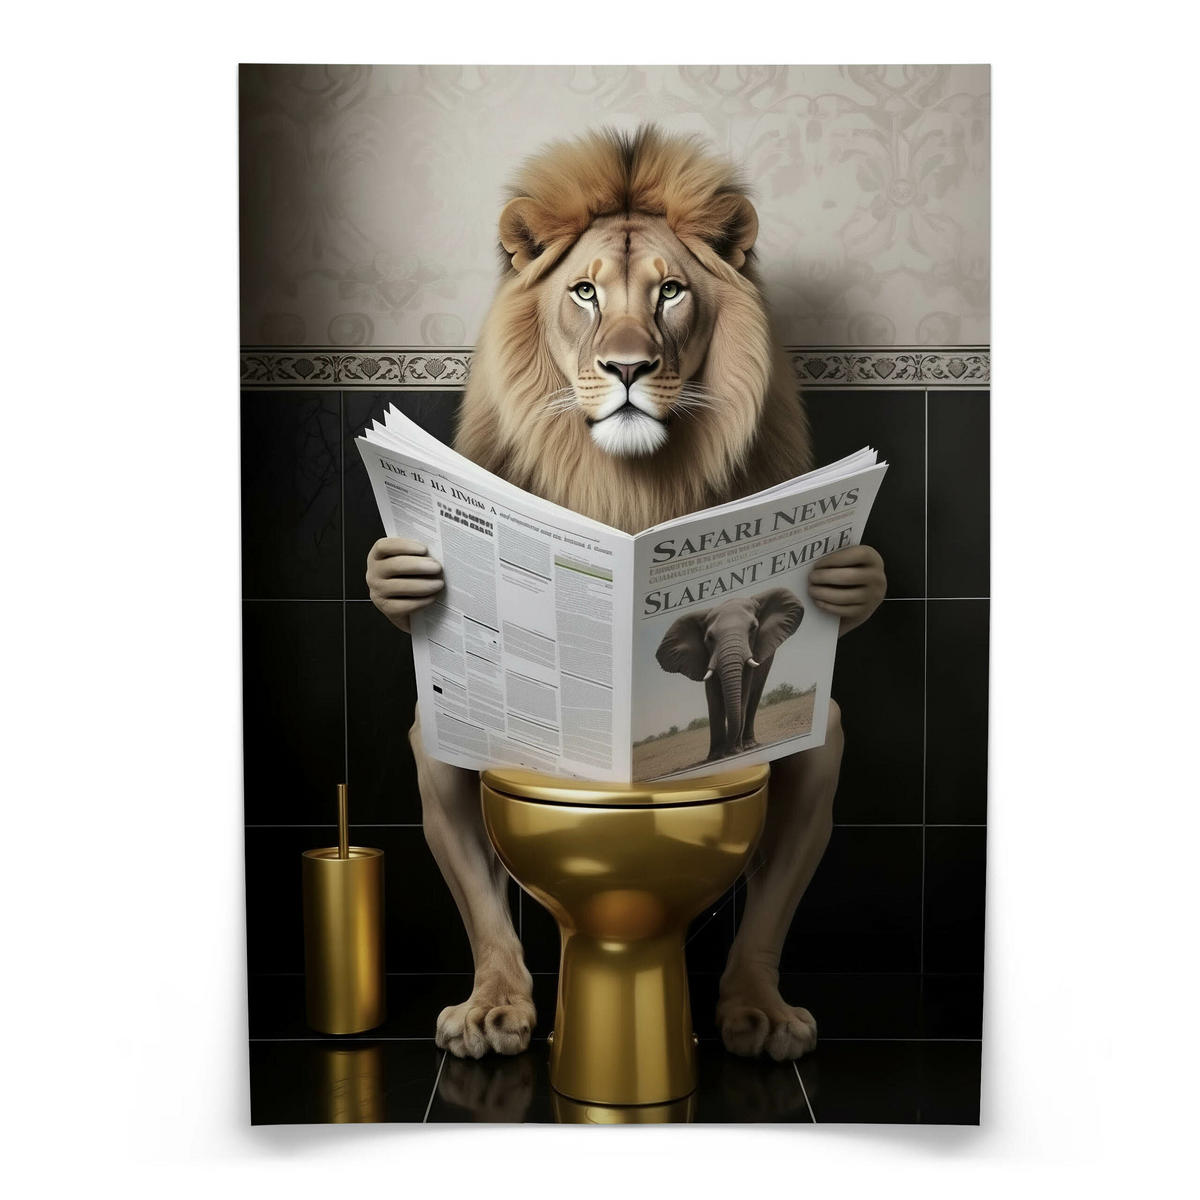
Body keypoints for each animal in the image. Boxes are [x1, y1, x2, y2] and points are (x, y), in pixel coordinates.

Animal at [366, 125, 887, 1062]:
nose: (629, 366)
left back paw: (757, 1015)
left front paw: (848, 578)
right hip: (463, 735)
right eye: (585, 291)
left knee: (809, 766)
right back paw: (493, 1012)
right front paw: (402, 575)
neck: (626, 481)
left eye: (670, 291)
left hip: (812, 744)